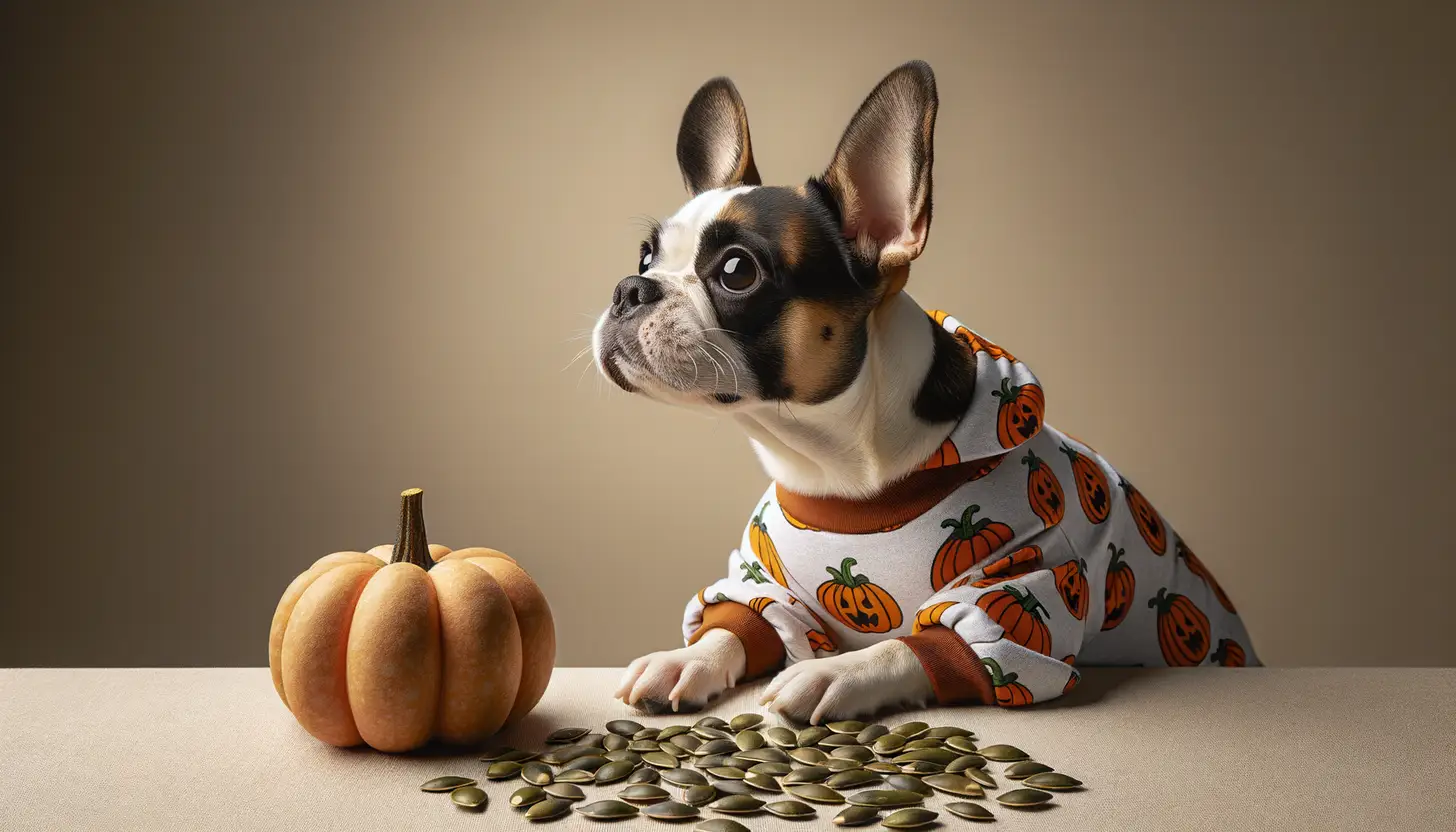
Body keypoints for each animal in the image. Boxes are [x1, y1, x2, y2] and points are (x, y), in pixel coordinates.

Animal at [596, 61, 1257, 722]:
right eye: (646, 256)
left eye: (737, 271)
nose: (630, 288)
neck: (841, 468)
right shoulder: (765, 582)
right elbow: (736, 622)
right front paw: (685, 659)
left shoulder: (1022, 584)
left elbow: (913, 645)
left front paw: (833, 672)